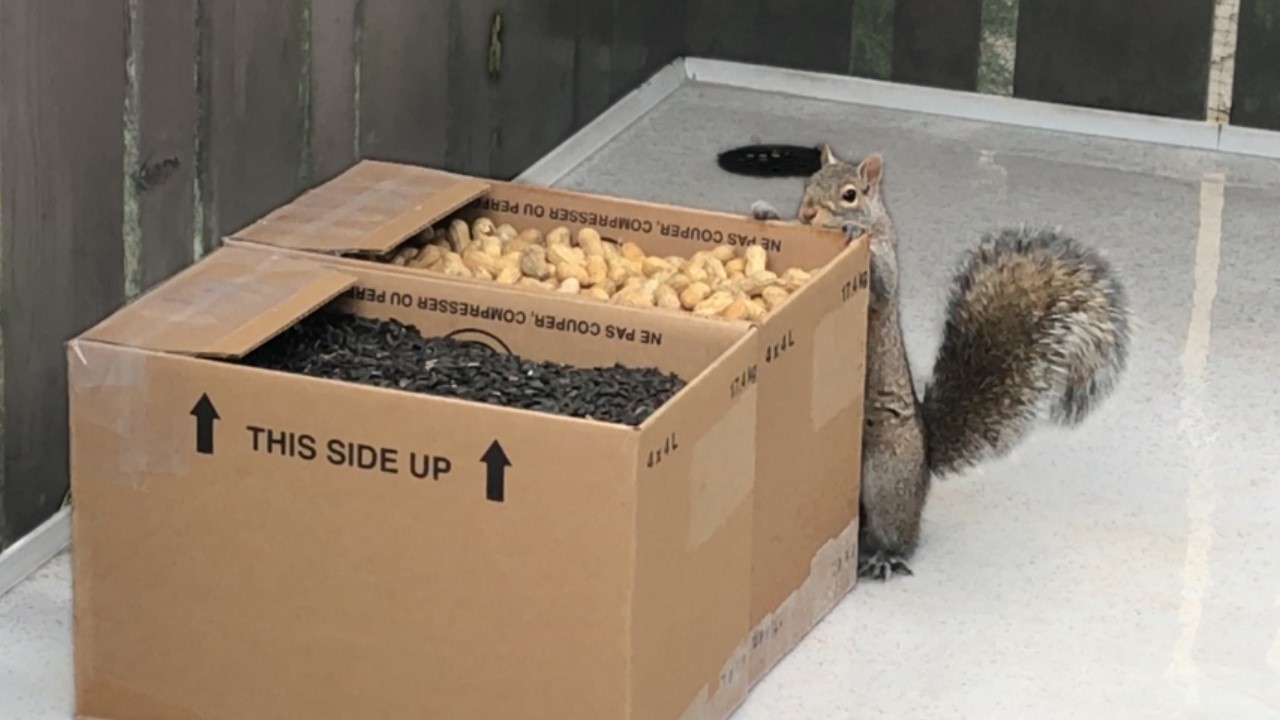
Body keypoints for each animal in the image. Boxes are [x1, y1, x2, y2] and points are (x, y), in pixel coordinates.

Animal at [749, 146, 1131, 581]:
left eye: (850, 194)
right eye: (809, 181)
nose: (809, 212)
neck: (875, 222)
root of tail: (926, 461)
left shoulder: (886, 272)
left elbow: (882, 285)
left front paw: (849, 232)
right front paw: (764, 212)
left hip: (887, 474)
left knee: (901, 535)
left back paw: (886, 557)